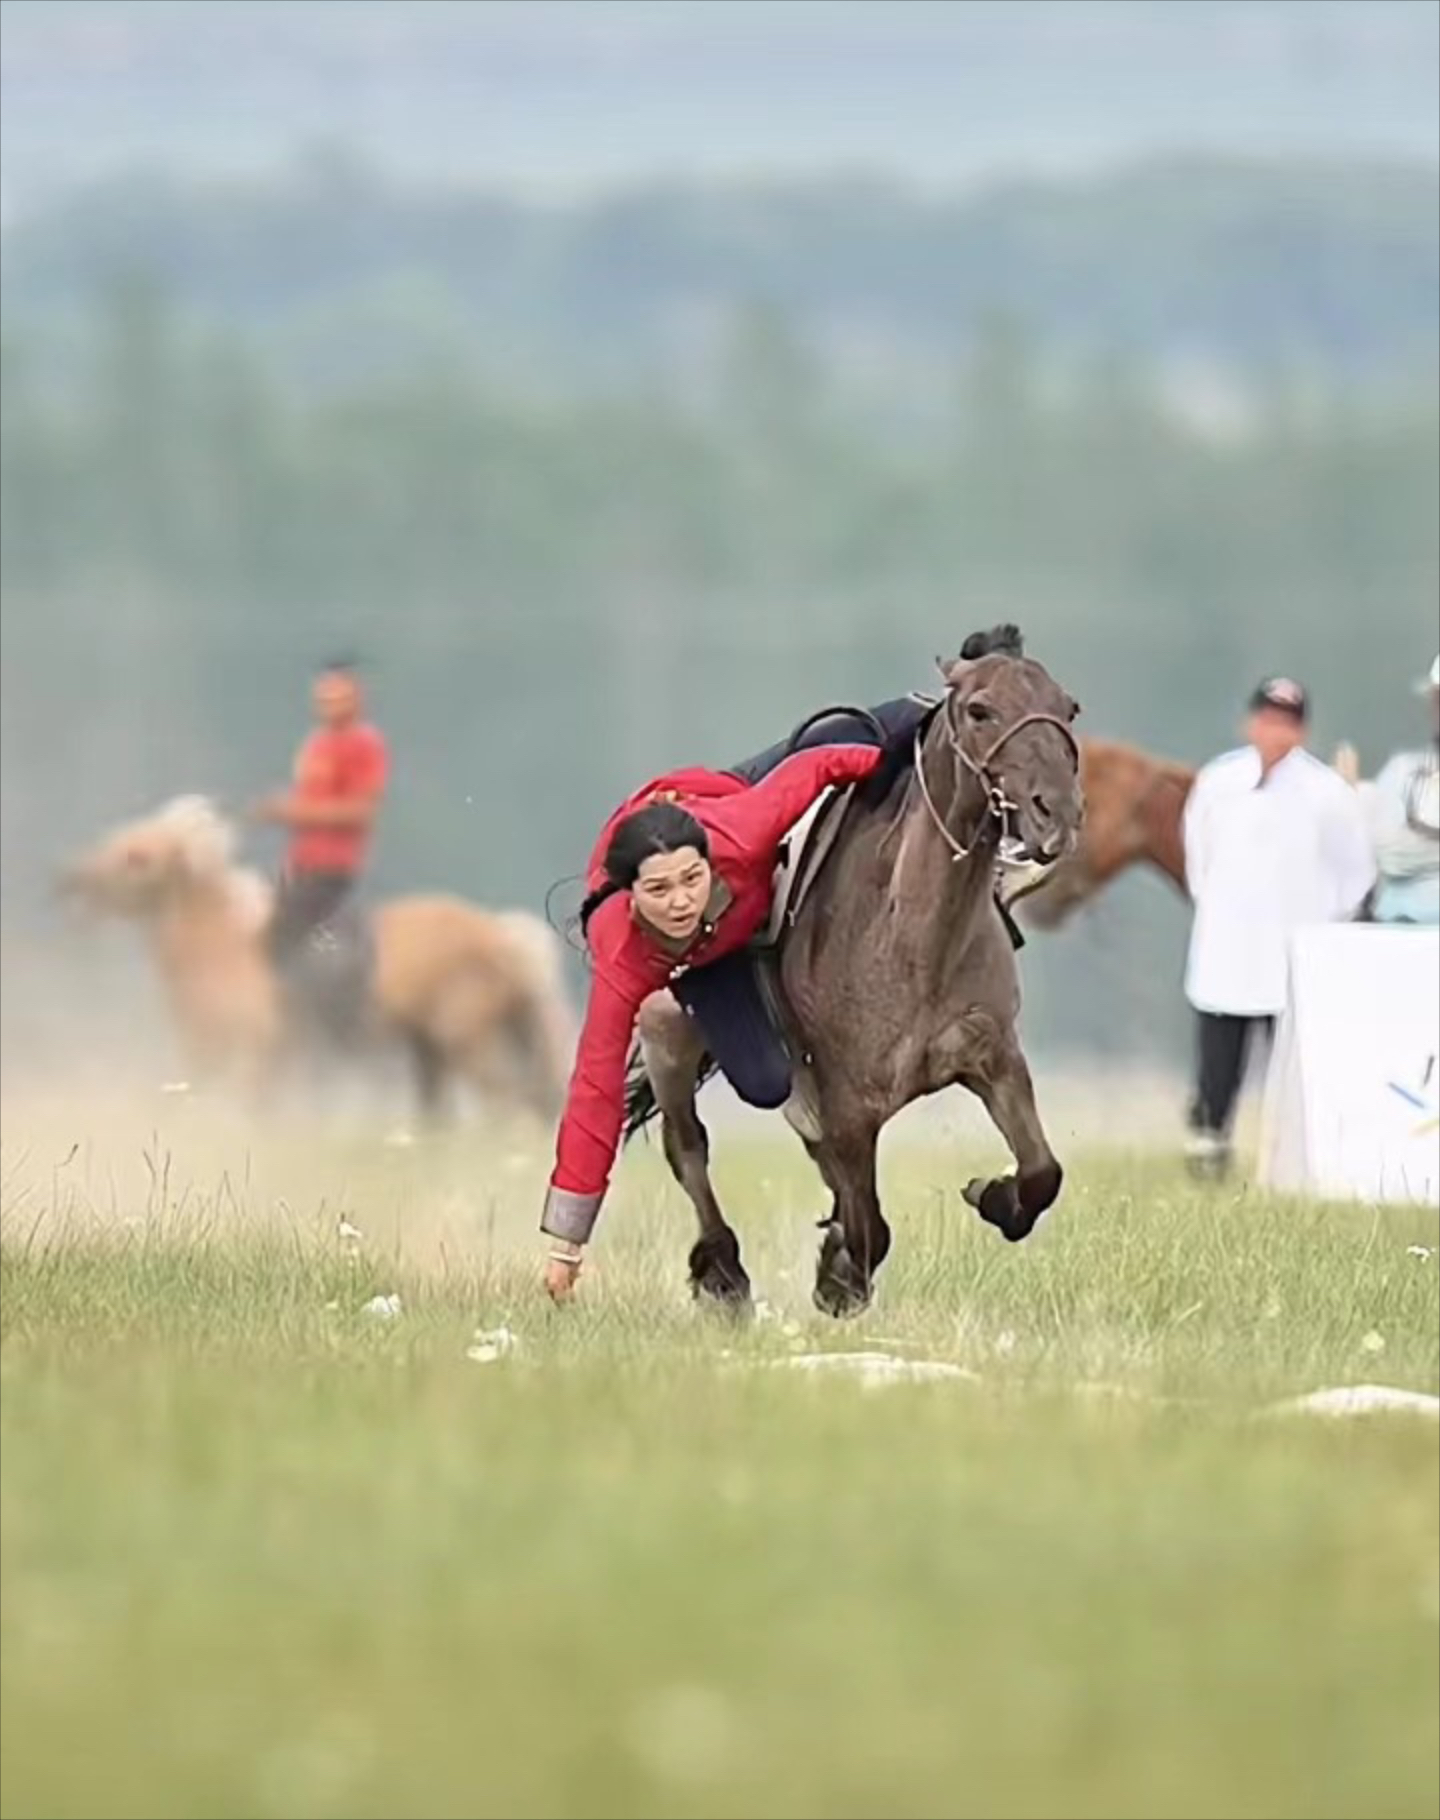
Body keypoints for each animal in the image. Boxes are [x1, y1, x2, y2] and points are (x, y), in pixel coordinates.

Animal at [56, 797, 575, 1121]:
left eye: (138, 858)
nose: (69, 879)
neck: (222, 949)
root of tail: (502, 937)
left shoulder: (252, 1057)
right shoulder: (212, 1057)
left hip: (468, 1042)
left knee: (505, 1105)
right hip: (436, 1048)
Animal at [637, 633, 1085, 1317]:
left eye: (1069, 708)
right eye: (980, 710)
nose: (1056, 813)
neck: (914, 937)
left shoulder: (993, 1056)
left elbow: (1041, 1173)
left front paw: (993, 1194)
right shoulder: (848, 1099)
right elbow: (869, 1225)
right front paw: (837, 1277)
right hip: (669, 1035)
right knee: (687, 1145)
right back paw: (723, 1273)